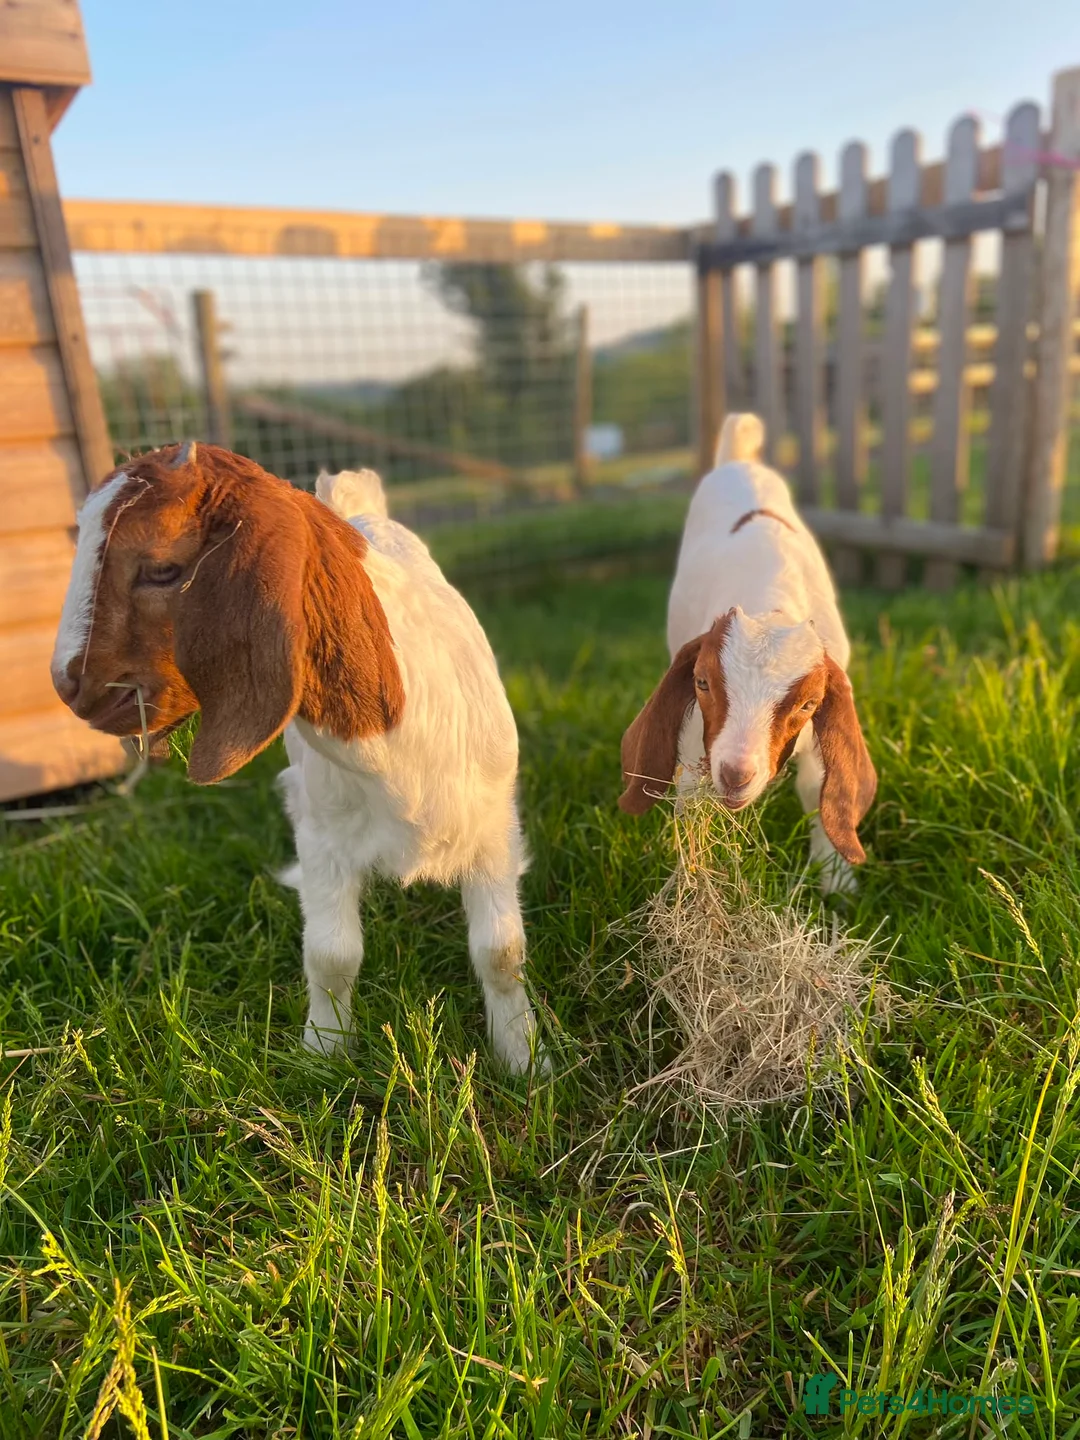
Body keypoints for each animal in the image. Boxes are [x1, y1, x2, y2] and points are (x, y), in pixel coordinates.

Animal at [51, 443, 540, 1070]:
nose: (67, 685)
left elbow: (501, 952)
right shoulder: (321, 831)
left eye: (161, 568)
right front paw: (323, 1055)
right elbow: (332, 955)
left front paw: (524, 1059)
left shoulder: (492, 825)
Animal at [619, 413, 876, 893]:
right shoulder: (695, 735)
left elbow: (815, 785)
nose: (736, 775)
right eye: (702, 682)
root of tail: (738, 458)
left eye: (809, 703)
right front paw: (692, 881)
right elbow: (689, 799)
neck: (768, 603)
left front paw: (837, 881)